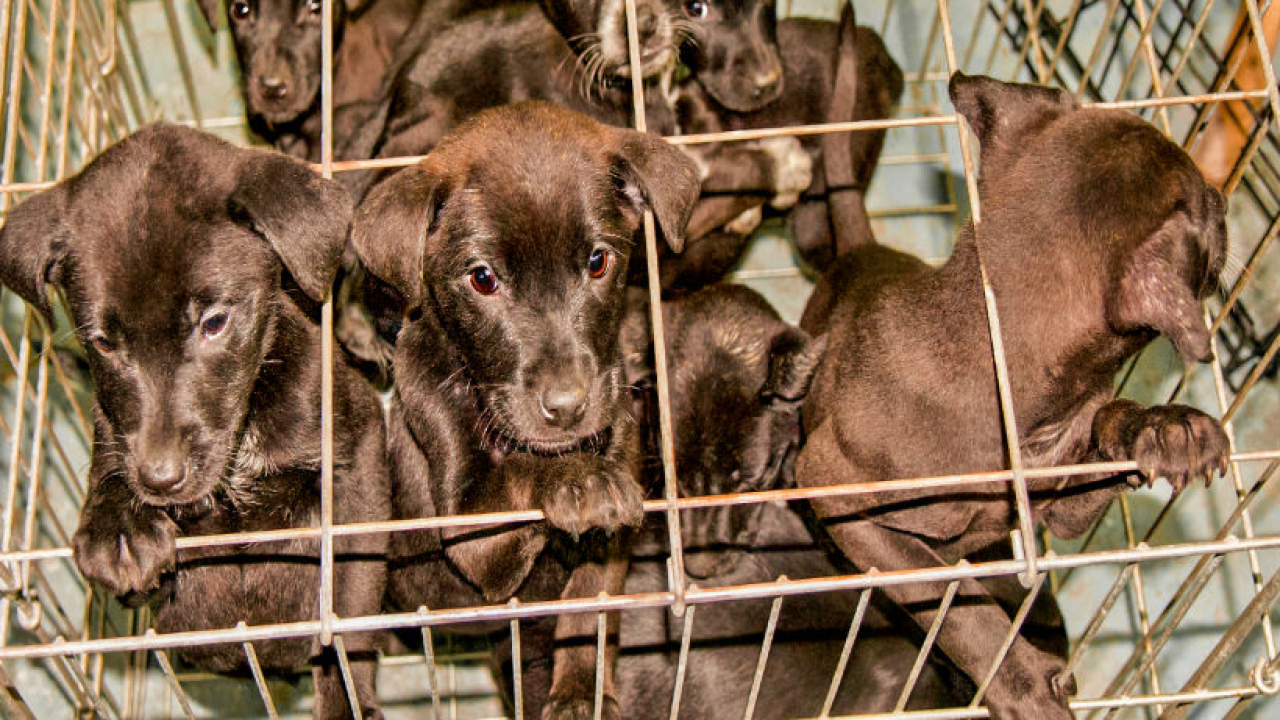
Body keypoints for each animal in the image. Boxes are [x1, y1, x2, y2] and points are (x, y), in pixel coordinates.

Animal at [0, 124, 389, 717]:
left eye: (214, 323)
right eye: (104, 342)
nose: (160, 480)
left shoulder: (358, 451)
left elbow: (348, 606)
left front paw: (346, 697)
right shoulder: (116, 428)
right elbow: (110, 455)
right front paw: (119, 521)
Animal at [348, 101, 701, 717]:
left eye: (598, 261)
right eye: (482, 278)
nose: (568, 406)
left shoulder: (615, 528)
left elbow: (587, 606)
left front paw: (579, 692)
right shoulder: (467, 525)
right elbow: (521, 470)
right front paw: (578, 479)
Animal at [798, 73, 1228, 717]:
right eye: (1204, 208)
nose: (1224, 199)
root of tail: (859, 254)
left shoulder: (1063, 501)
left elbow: (1108, 424)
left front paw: (1163, 427)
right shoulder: (835, 488)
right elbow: (951, 595)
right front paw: (1022, 681)